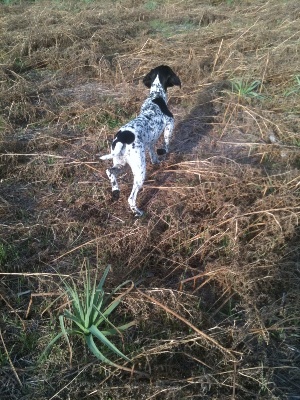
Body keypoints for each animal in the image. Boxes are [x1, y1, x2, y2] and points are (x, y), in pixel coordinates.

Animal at [100, 64, 180, 217]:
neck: (156, 96)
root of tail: (121, 139)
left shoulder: (150, 142)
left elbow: (154, 154)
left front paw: (157, 161)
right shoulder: (169, 127)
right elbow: (166, 146)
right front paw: (163, 152)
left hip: (121, 163)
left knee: (110, 172)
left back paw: (115, 191)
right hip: (139, 170)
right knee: (131, 198)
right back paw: (137, 212)